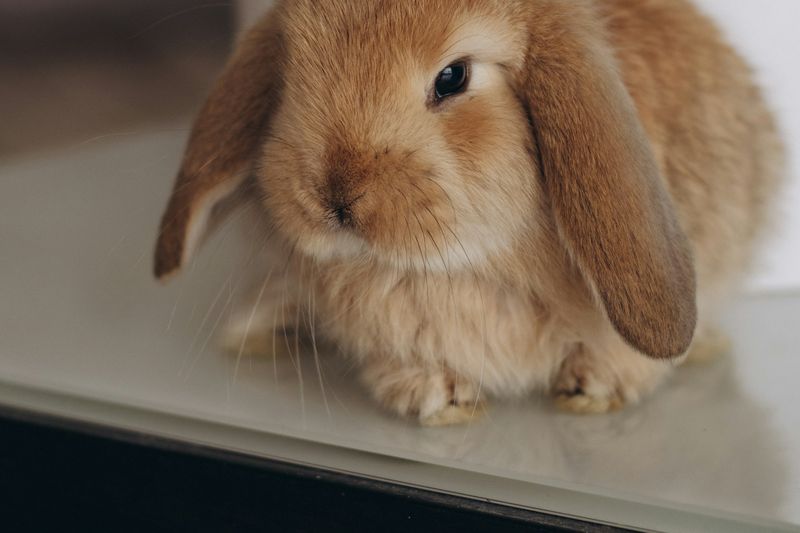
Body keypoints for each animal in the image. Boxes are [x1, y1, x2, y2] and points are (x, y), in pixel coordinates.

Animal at [154, 0, 784, 425]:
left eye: (453, 76)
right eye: (293, 70)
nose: (334, 197)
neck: (456, 265)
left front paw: (593, 387)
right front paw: (439, 397)